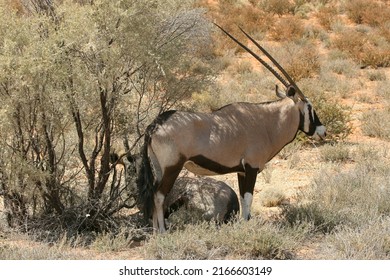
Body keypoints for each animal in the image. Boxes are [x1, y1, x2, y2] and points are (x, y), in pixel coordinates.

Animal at [137, 25, 326, 233]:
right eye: (310, 107)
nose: (322, 131)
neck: (266, 123)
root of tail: (154, 125)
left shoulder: (241, 171)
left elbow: (243, 201)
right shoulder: (251, 168)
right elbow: (249, 200)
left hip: (159, 168)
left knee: (153, 194)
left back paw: (155, 231)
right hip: (172, 166)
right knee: (159, 195)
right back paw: (162, 232)